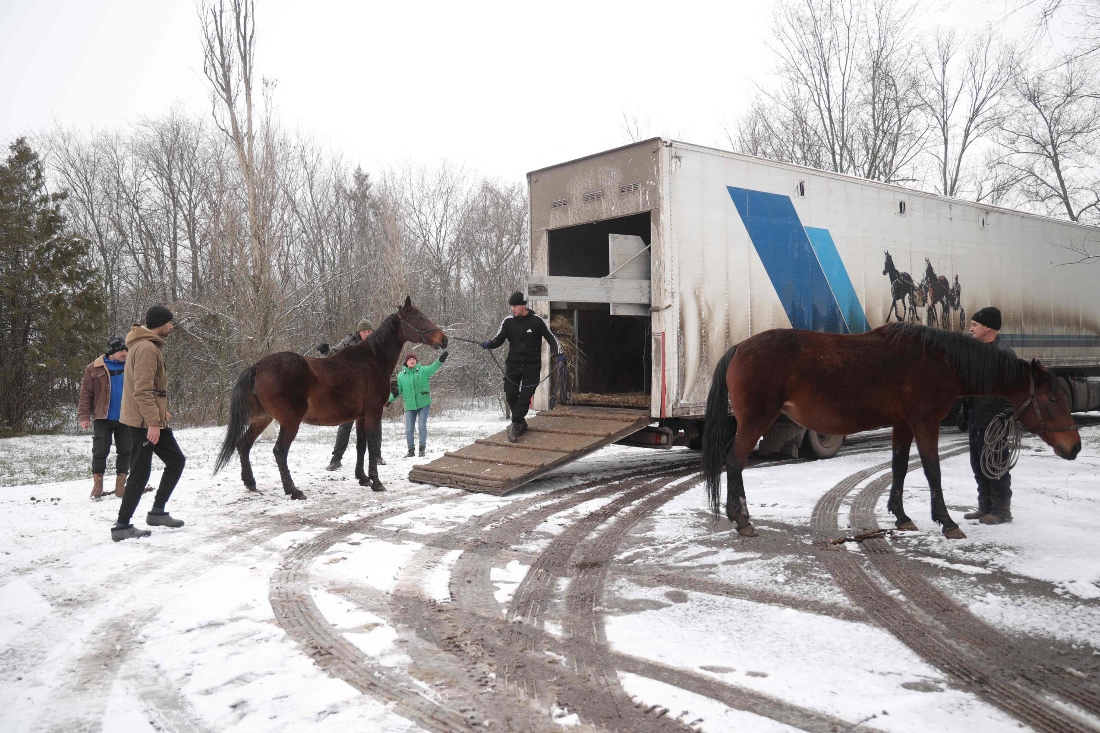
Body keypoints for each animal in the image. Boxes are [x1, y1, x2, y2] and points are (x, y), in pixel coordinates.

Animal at [213, 297, 448, 498]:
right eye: (418, 318)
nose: (443, 339)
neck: (372, 360)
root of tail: (257, 367)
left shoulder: (361, 417)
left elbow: (361, 446)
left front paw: (363, 478)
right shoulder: (373, 413)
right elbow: (372, 446)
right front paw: (376, 482)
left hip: (261, 419)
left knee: (243, 444)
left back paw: (251, 483)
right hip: (289, 422)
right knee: (279, 451)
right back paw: (293, 491)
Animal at [701, 323, 1080, 539]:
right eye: (1053, 397)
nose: (1074, 447)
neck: (940, 361)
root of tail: (739, 347)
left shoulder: (902, 424)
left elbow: (899, 467)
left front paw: (901, 517)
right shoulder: (925, 422)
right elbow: (932, 471)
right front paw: (947, 523)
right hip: (756, 420)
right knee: (734, 461)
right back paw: (742, 521)